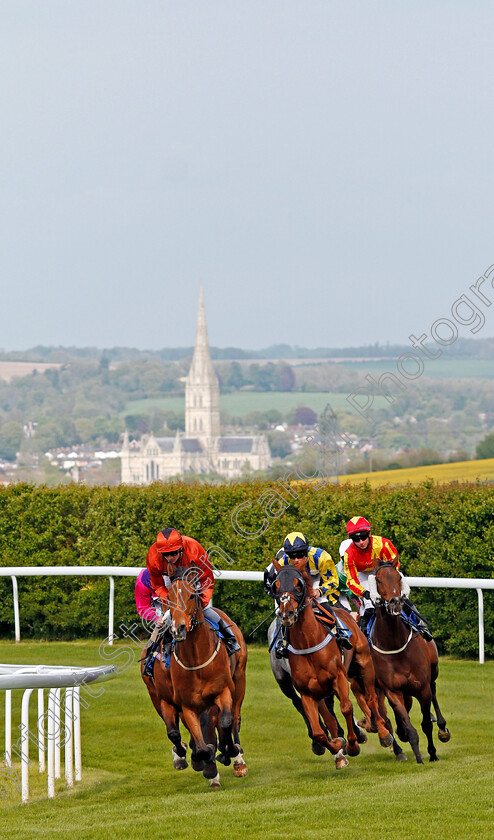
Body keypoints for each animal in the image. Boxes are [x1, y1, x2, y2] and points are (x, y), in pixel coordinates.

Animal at [142, 572, 246, 788]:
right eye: (168, 598)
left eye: (191, 596)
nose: (179, 629)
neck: (196, 658)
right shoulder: (177, 702)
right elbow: (185, 737)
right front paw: (199, 760)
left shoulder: (222, 690)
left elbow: (224, 722)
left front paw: (227, 751)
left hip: (239, 680)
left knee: (234, 718)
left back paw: (236, 758)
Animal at [272, 556, 360, 768]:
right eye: (275, 585)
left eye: (298, 584)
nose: (286, 614)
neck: (308, 641)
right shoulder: (308, 693)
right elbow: (320, 732)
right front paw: (337, 746)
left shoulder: (339, 677)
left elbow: (346, 707)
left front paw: (352, 744)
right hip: (287, 682)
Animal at [368, 560, 450, 764]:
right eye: (378, 580)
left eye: (399, 577)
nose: (396, 601)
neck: (395, 643)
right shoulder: (393, 691)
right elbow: (408, 726)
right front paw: (418, 757)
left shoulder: (422, 687)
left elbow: (426, 724)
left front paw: (432, 753)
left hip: (433, 671)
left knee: (434, 690)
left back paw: (443, 728)